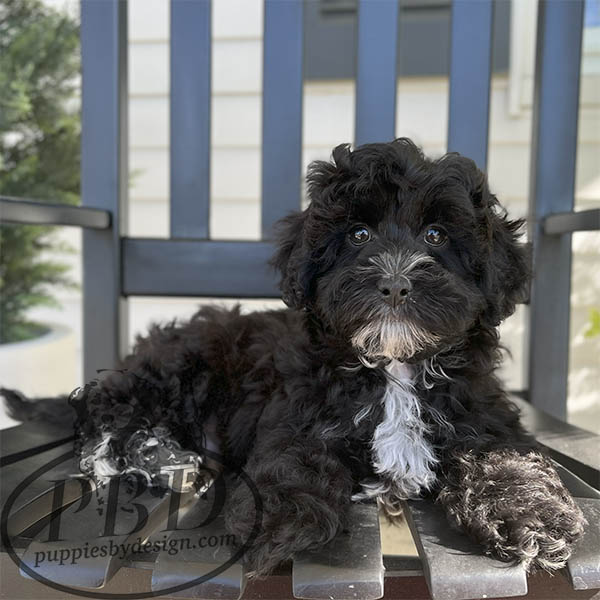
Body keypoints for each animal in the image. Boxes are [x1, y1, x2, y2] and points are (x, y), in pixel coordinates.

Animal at [3, 139, 585, 576]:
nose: (395, 284)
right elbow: (293, 458)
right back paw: (155, 456)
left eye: (437, 234)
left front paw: (531, 514)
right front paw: (280, 517)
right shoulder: (298, 413)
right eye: (358, 234)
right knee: (105, 412)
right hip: (182, 365)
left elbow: (505, 458)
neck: (394, 367)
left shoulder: (483, 418)